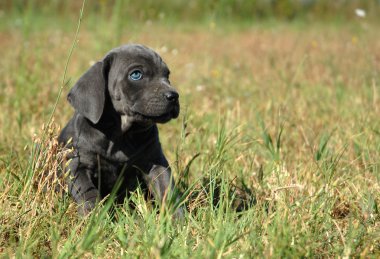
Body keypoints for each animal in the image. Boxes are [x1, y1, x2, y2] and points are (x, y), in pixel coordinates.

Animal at [59, 43, 183, 216]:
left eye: (167, 75)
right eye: (136, 74)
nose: (174, 96)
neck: (121, 134)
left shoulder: (156, 163)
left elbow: (168, 191)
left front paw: (177, 218)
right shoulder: (76, 164)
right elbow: (88, 193)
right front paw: (95, 216)